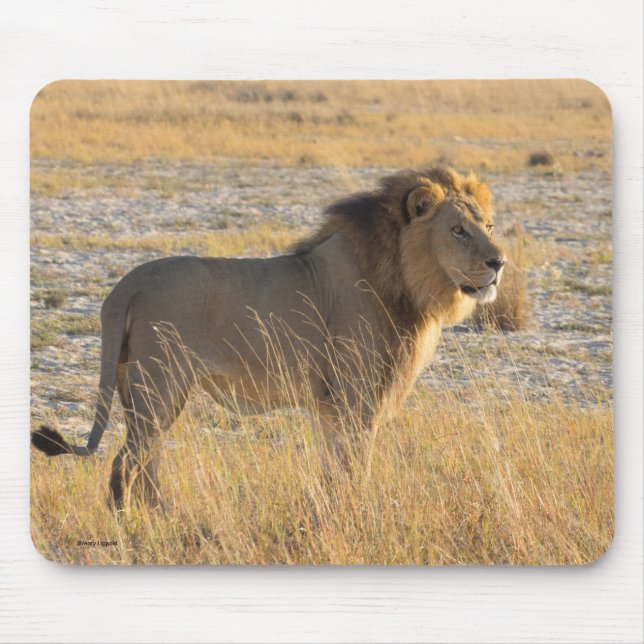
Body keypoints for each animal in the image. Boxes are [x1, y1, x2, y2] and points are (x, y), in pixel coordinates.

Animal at [31, 165, 505, 509]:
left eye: (489, 226)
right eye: (458, 230)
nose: (499, 262)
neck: (404, 281)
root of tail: (125, 286)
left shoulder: (331, 405)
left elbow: (333, 469)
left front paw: (332, 507)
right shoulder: (355, 398)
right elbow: (356, 466)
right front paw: (360, 509)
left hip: (136, 389)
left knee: (145, 463)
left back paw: (166, 516)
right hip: (160, 387)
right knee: (125, 465)